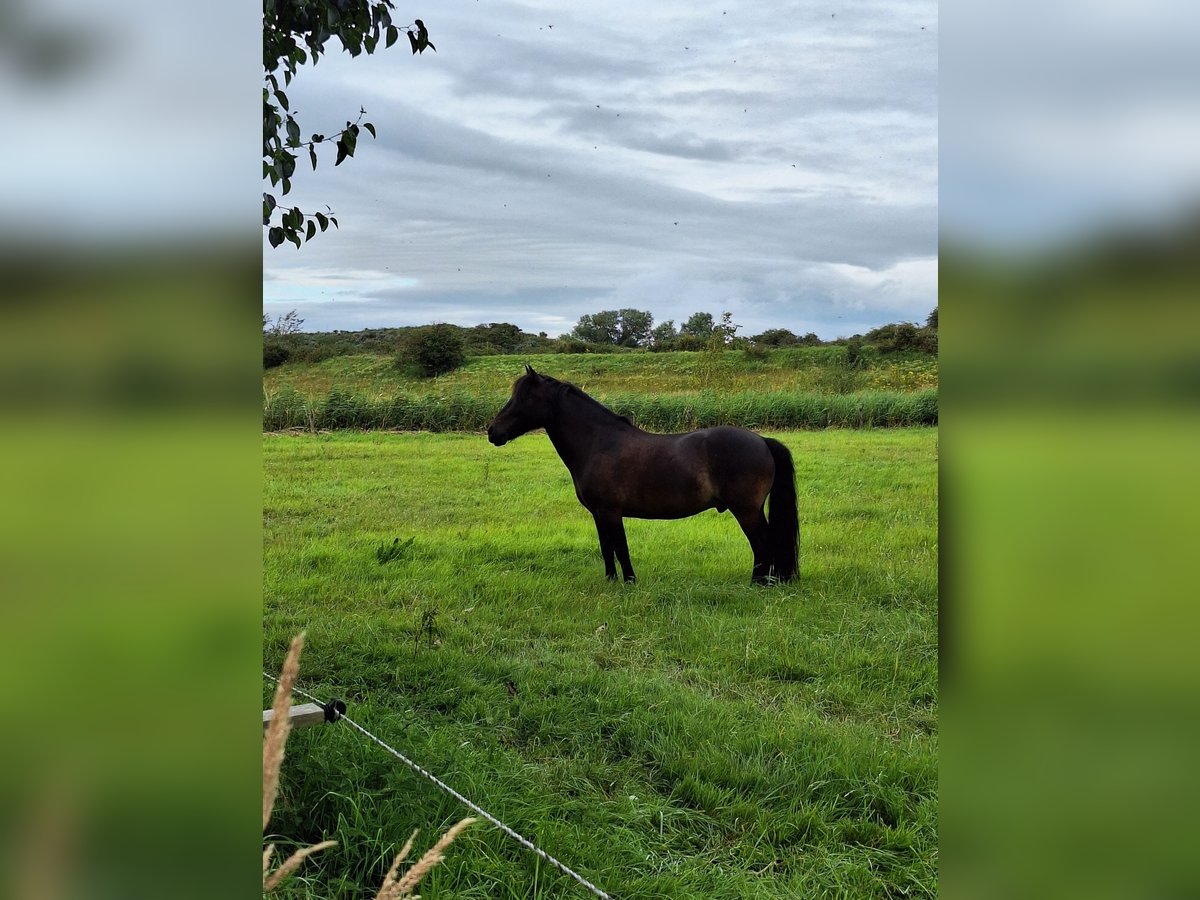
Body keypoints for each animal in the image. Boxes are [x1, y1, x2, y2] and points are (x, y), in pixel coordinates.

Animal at [486, 366, 799, 585]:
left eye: (525, 397)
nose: (492, 431)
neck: (599, 443)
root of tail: (761, 440)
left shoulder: (611, 512)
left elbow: (621, 548)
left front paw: (629, 583)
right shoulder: (599, 515)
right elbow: (607, 549)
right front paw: (612, 582)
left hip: (746, 511)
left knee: (763, 545)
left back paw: (759, 585)